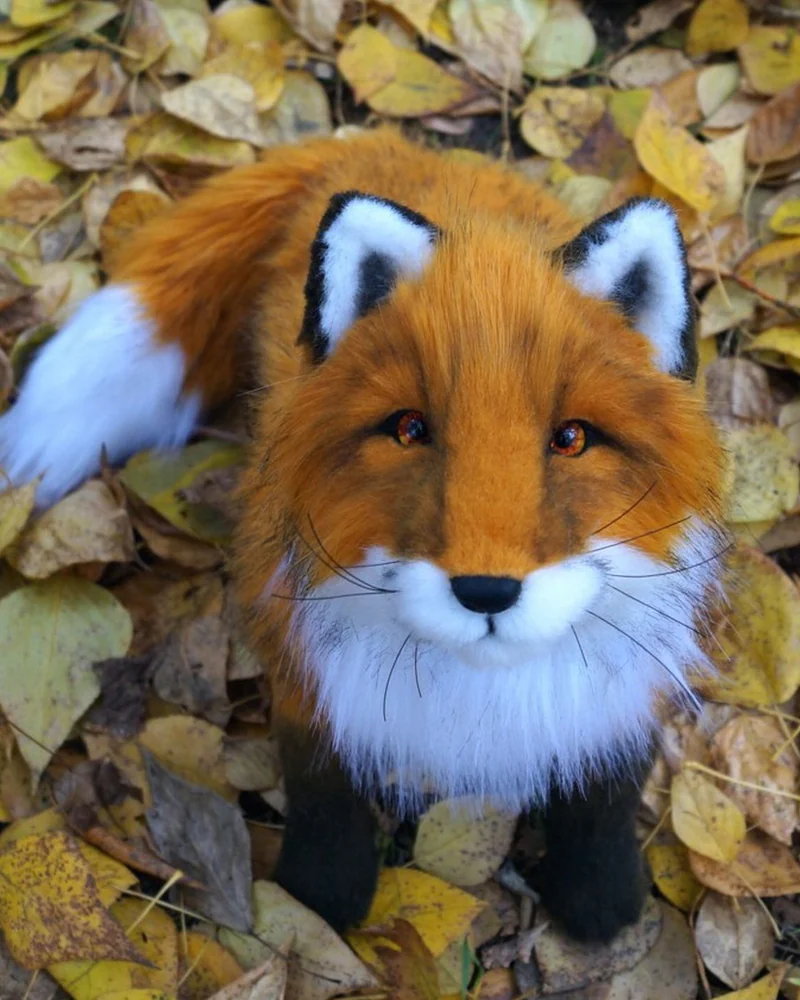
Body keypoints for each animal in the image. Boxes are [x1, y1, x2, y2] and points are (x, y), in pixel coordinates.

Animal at [0, 128, 724, 943]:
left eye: (570, 438)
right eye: (409, 429)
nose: (485, 592)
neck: (476, 695)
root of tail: (379, 144)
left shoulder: (615, 704)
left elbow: (603, 804)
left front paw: (601, 899)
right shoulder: (307, 678)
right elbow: (325, 799)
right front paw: (322, 898)